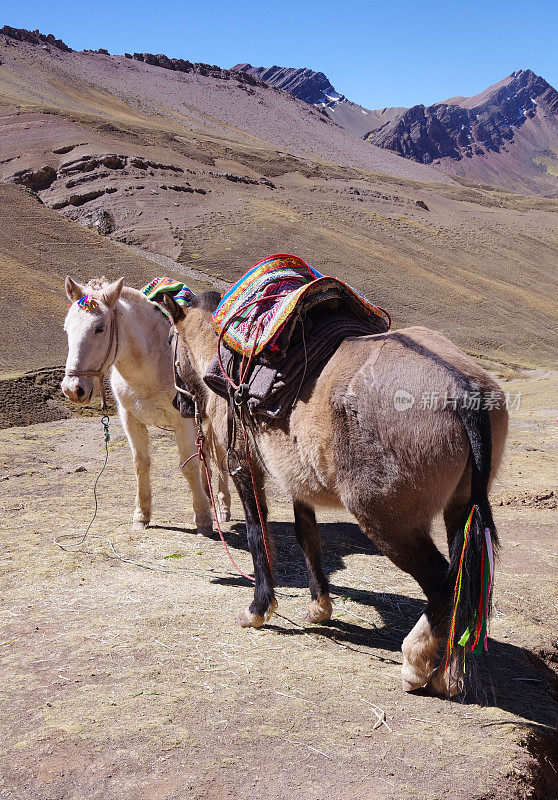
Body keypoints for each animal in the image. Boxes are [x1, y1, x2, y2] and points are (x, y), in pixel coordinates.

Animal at [63, 276, 232, 536]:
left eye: (99, 328)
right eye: (67, 328)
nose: (73, 389)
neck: (150, 364)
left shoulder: (182, 421)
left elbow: (189, 466)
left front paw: (203, 519)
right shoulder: (130, 420)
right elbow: (140, 464)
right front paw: (141, 516)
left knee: (220, 457)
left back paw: (222, 507)